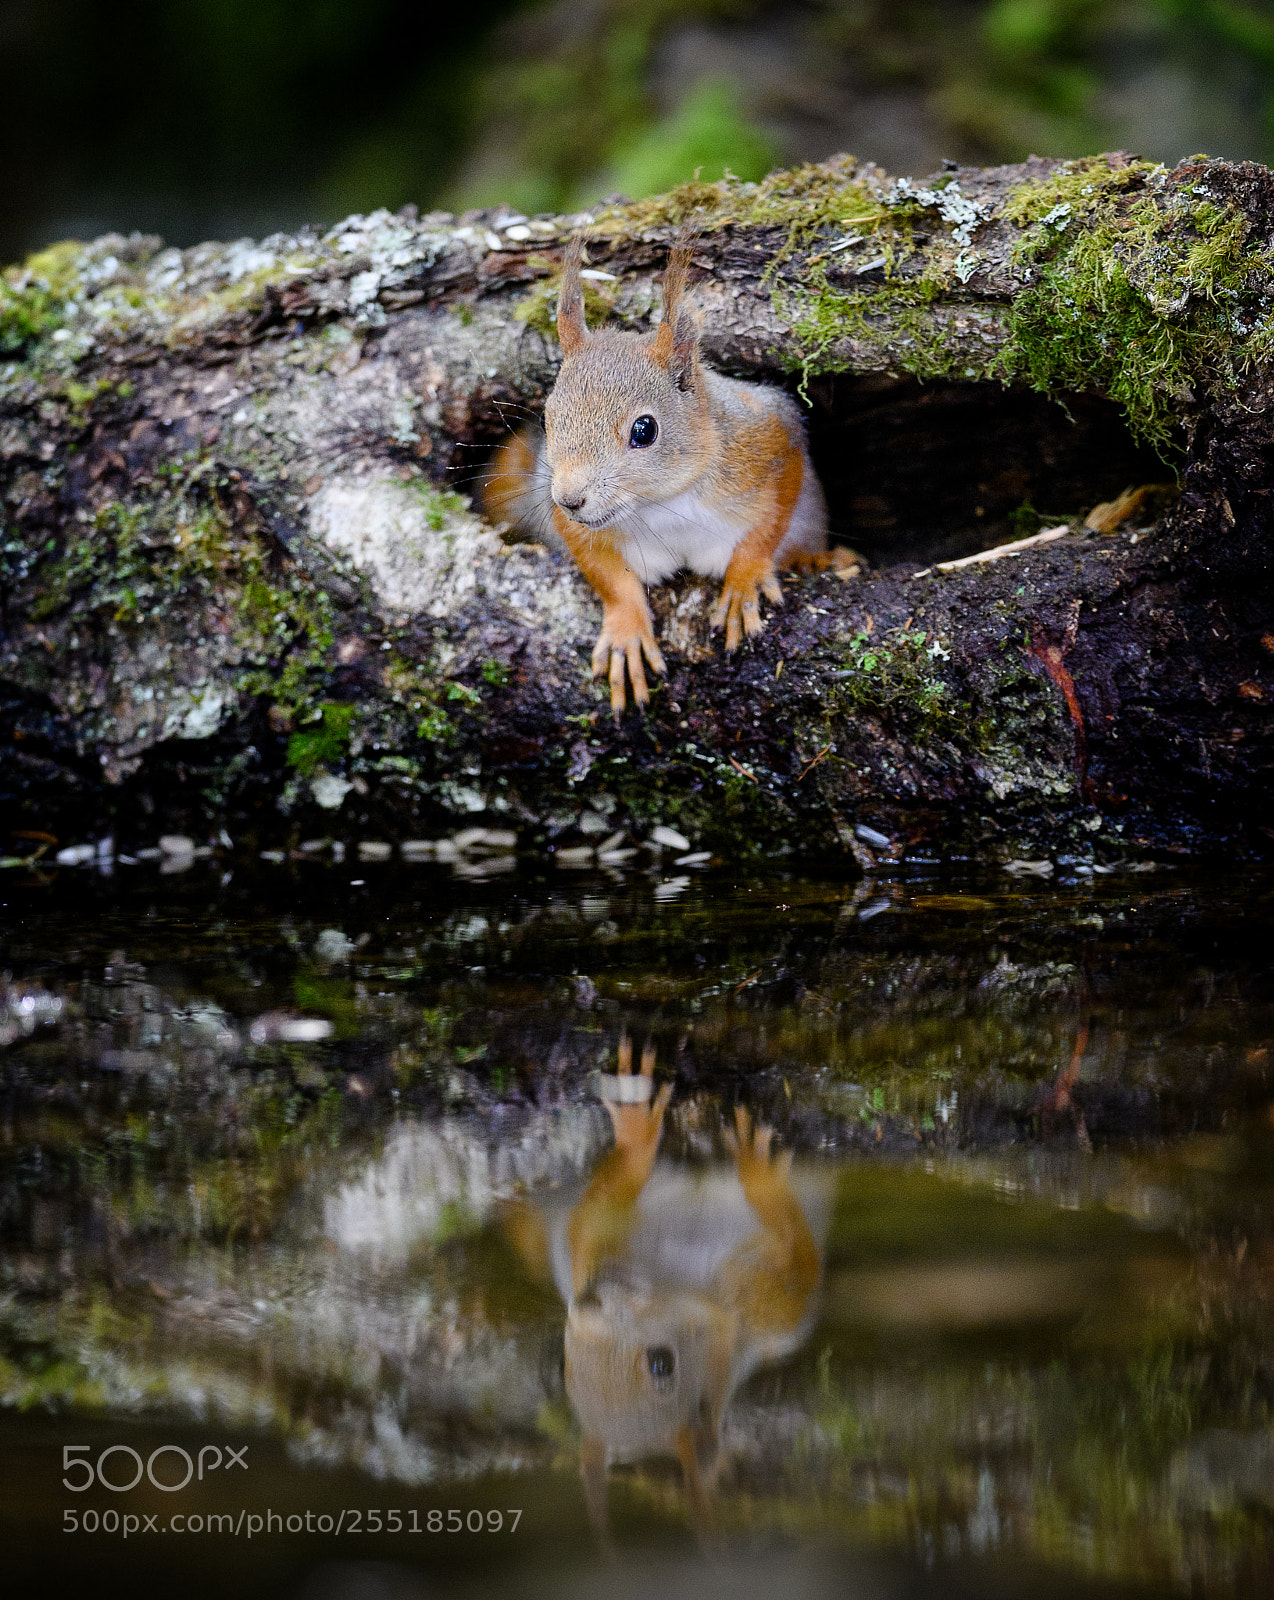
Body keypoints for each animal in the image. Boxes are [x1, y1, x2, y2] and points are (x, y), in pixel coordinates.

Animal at [483, 230, 846, 715]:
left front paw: (745, 579)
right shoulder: (568, 517)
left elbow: (770, 521)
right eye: (546, 419)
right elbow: (608, 576)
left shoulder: (770, 440)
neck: (662, 503)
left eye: (644, 429)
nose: (570, 498)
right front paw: (626, 630)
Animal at [504, 1038, 827, 1544]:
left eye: (662, 1363)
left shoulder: (756, 1305)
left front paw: (757, 1173)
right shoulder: (590, 1254)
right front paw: (634, 1128)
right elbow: (593, 1214)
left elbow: (798, 1266)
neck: (675, 1271)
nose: (587, 1301)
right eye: (564, 1359)